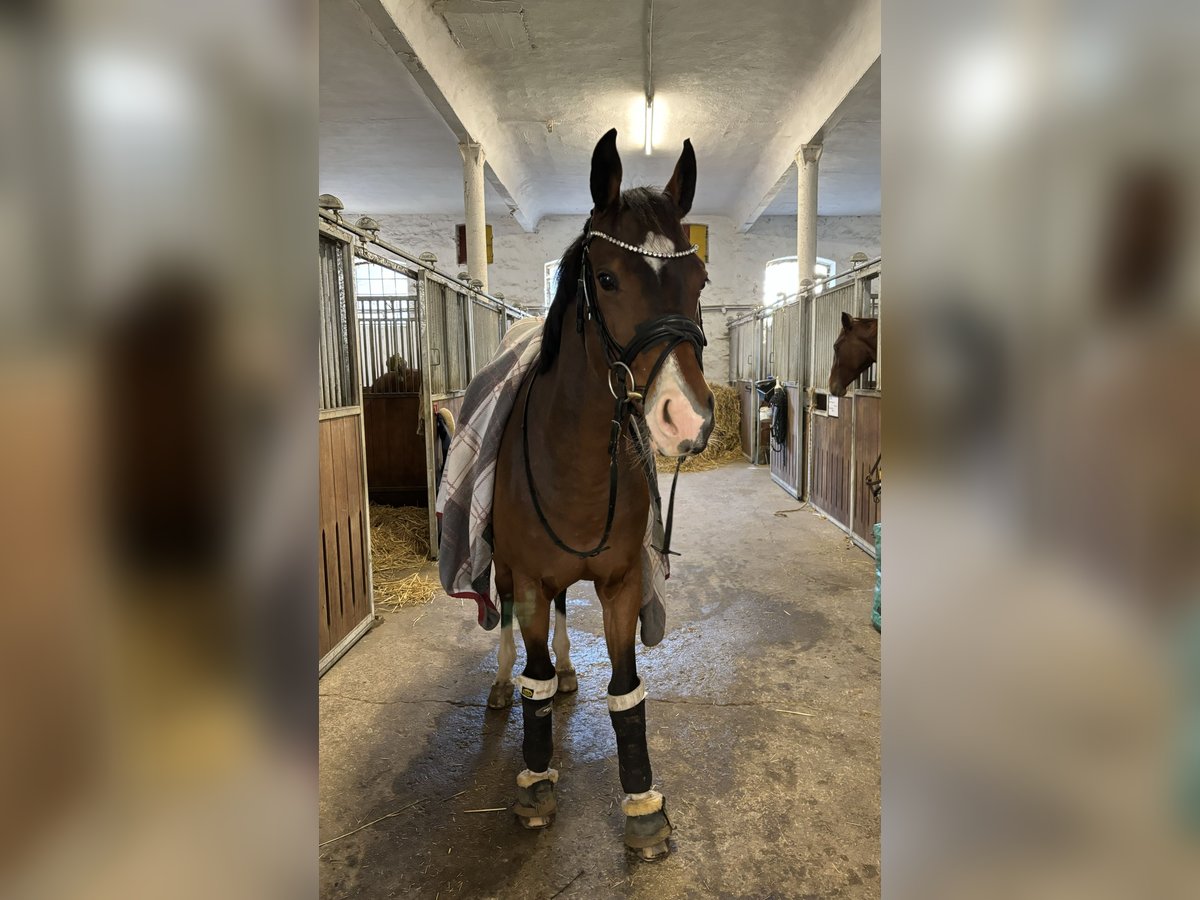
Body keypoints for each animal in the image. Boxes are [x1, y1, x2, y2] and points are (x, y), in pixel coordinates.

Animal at [487, 130, 710, 864]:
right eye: (608, 279)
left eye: (700, 282)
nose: (686, 417)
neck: (577, 463)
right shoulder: (529, 579)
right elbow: (529, 672)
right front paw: (535, 782)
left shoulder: (617, 583)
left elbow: (625, 689)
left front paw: (642, 803)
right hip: (503, 571)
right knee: (505, 627)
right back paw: (502, 684)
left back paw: (567, 674)